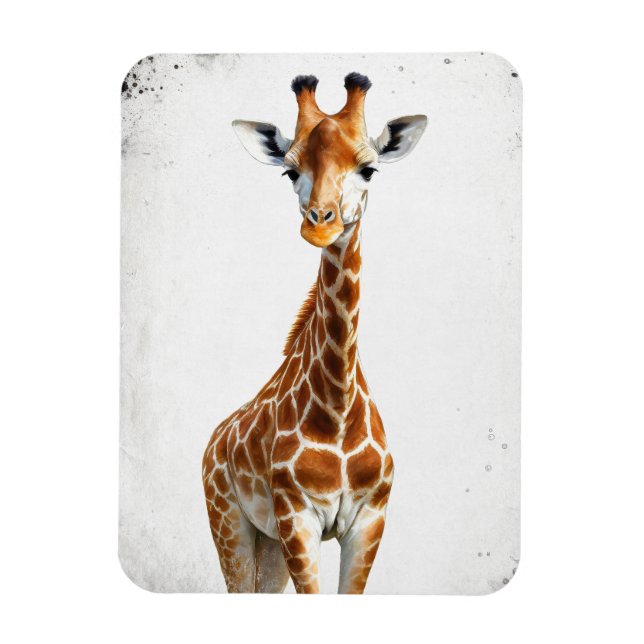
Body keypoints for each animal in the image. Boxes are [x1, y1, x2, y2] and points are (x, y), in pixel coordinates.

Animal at [202, 72, 427, 593]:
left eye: (369, 169)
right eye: (289, 171)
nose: (320, 225)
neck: (337, 409)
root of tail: (213, 440)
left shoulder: (370, 519)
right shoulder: (297, 518)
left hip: (268, 543)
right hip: (230, 523)